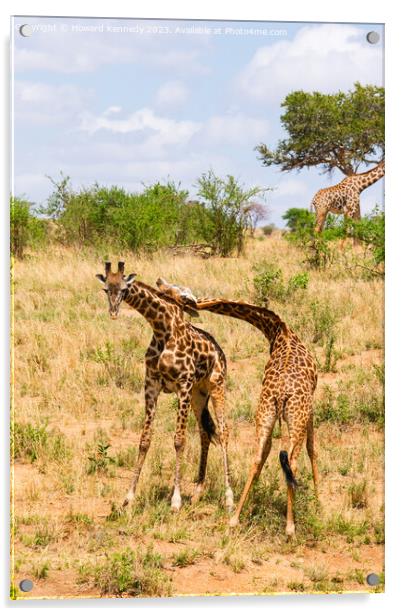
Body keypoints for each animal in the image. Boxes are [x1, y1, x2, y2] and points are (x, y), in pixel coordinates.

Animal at [95, 262, 233, 512]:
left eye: (124, 289)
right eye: (105, 289)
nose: (113, 312)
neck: (161, 327)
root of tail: (220, 351)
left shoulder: (183, 385)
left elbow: (179, 441)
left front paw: (175, 500)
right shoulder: (151, 384)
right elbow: (144, 440)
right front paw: (128, 497)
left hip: (216, 385)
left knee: (223, 431)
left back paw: (229, 498)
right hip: (199, 394)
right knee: (205, 432)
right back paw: (197, 492)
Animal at [158, 280, 318, 536]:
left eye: (178, 291)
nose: (159, 283)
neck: (278, 331)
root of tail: (282, 394)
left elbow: (267, 454)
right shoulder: (311, 405)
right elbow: (313, 450)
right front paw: (320, 503)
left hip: (266, 413)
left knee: (258, 457)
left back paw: (235, 518)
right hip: (294, 417)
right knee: (291, 462)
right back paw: (290, 526)